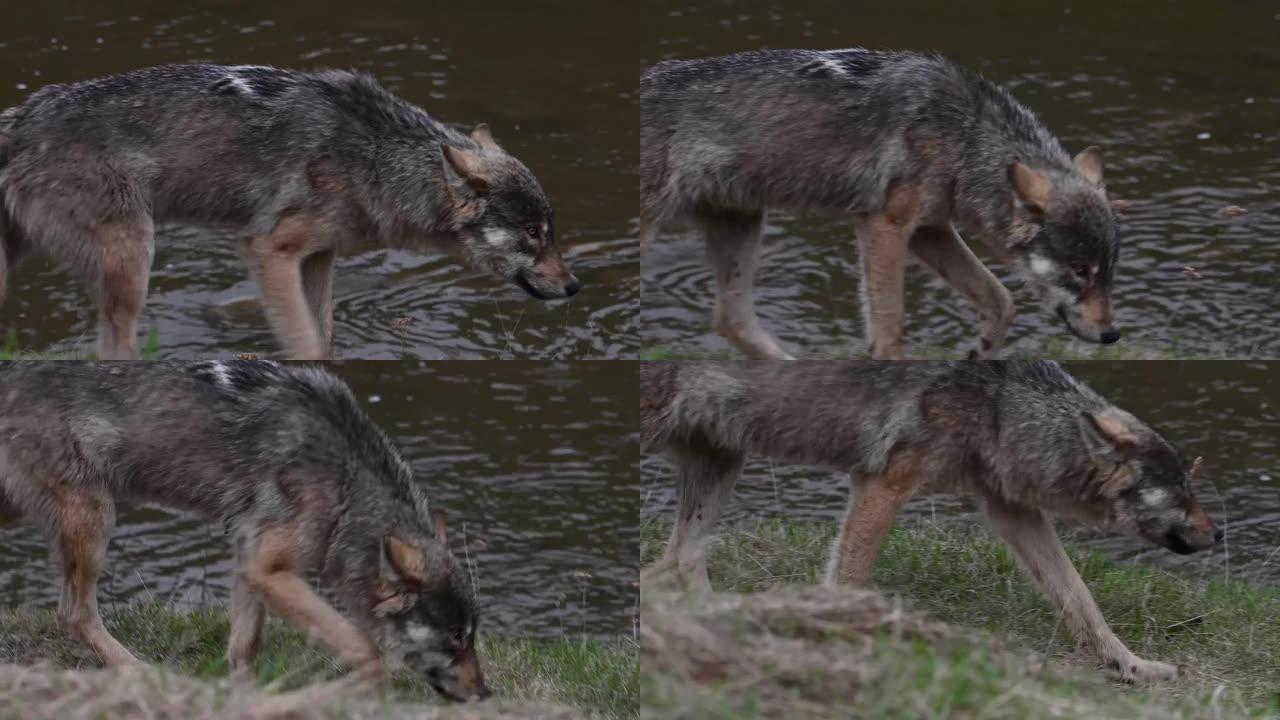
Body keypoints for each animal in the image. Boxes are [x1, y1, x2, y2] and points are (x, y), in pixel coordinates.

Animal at [0, 64, 581, 358]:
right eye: (533, 233)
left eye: (550, 230)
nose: (575, 285)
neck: (374, 156)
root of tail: (21, 119)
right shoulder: (267, 251)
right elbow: (302, 340)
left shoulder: (319, 258)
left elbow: (323, 338)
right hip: (133, 269)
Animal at [0, 361, 488, 696]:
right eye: (455, 638)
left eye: (472, 636)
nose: (486, 694)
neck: (346, 479)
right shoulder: (271, 569)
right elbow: (363, 646)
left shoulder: (250, 559)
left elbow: (244, 646)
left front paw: (248, 697)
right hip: (96, 521)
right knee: (74, 613)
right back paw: (140, 671)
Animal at [640, 49, 1121, 356]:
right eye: (1079, 270)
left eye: (1108, 271)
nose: (1113, 335)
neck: (964, 136)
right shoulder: (885, 226)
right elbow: (889, 328)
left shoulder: (930, 230)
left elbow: (1002, 300)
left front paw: (981, 352)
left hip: (742, 225)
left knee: (732, 322)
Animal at [645, 361, 1223, 681]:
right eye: (1181, 492)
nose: (1219, 535)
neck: (998, 406)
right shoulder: (881, 485)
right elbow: (848, 580)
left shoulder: (1014, 512)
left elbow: (1081, 599)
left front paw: (1130, 666)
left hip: (717, 472)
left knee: (673, 562)